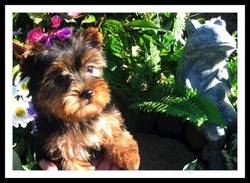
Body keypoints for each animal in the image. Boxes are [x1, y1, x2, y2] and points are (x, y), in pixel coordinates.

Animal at [13, 24, 141, 170]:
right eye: (59, 79)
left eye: (90, 69)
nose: (88, 92)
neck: (80, 118)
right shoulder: (61, 147)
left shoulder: (107, 116)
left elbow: (113, 128)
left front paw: (130, 157)